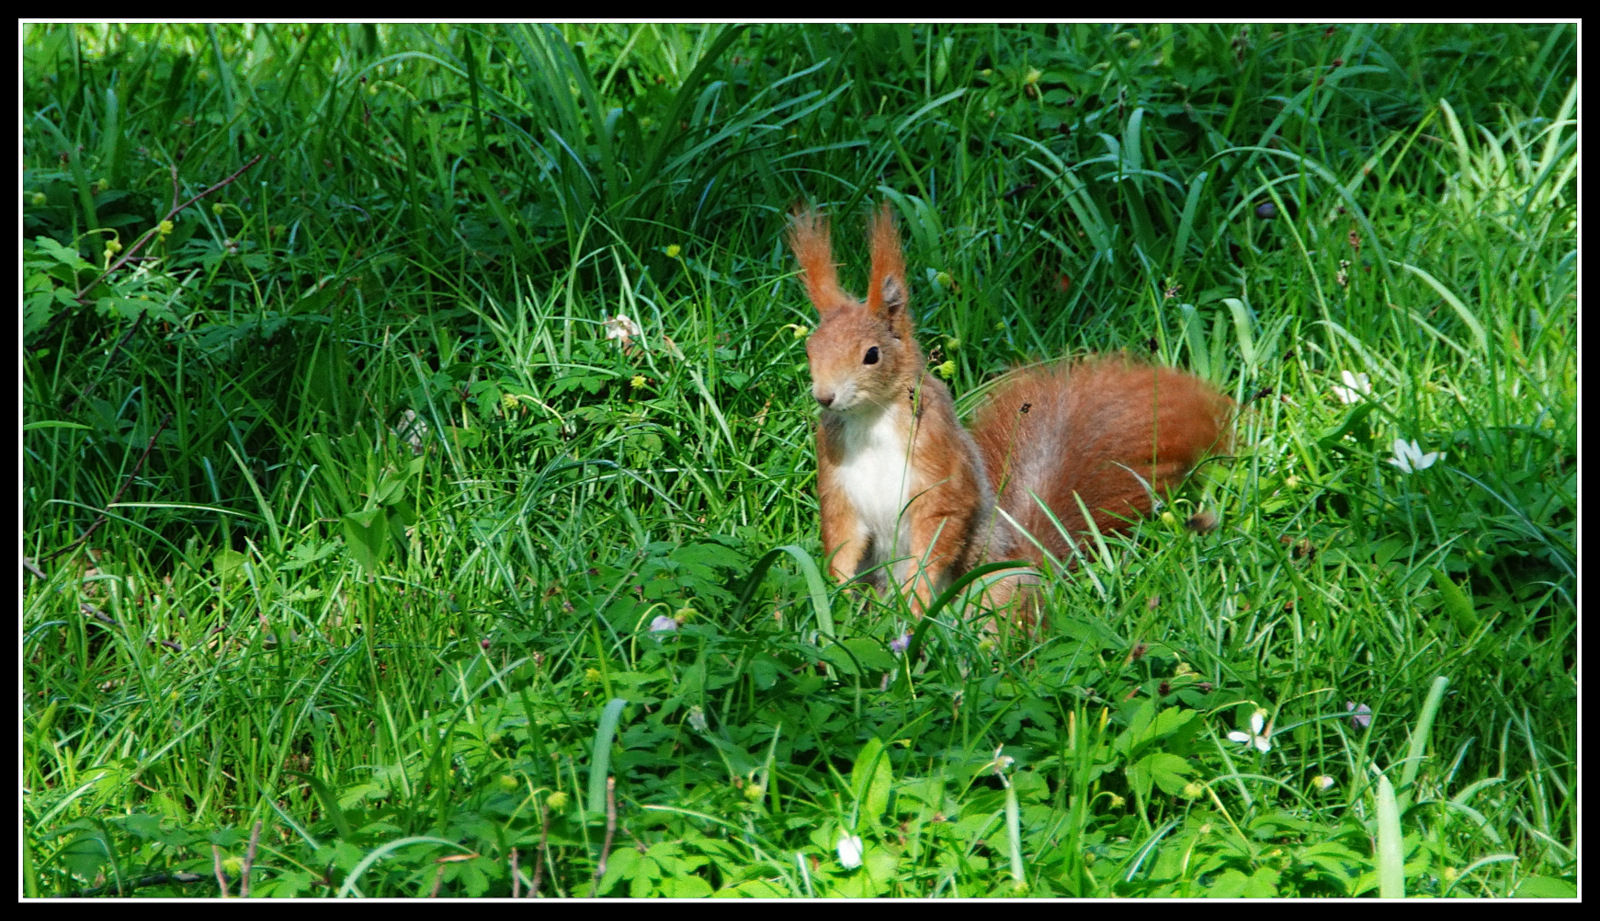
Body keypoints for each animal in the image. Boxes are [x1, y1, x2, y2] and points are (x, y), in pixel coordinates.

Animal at [790, 204, 1235, 614]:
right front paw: (835, 595)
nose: (825, 396)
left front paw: (917, 598)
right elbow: (841, 532)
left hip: (998, 586)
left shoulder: (936, 453)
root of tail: (1033, 560)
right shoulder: (836, 473)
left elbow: (942, 520)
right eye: (810, 349)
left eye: (871, 355)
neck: (870, 418)